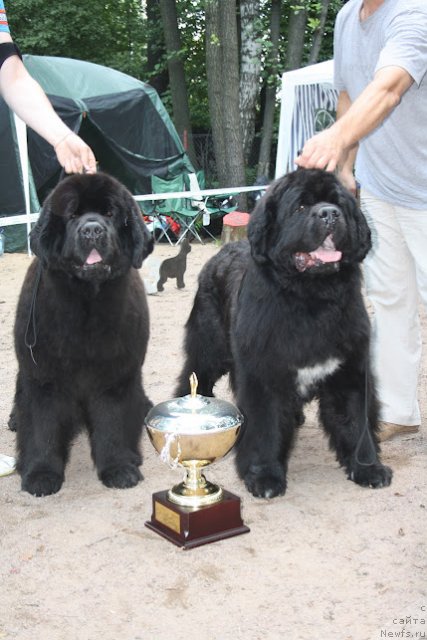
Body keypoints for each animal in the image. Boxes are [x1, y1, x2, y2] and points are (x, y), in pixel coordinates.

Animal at [10, 172, 155, 498]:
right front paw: (40, 474)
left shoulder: (116, 376)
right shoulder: (43, 378)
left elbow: (113, 423)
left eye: (110, 214)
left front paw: (118, 468)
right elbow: (42, 427)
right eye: (72, 215)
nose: (92, 229)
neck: (86, 307)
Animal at [177, 170, 394, 500]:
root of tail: (223, 251)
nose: (329, 213)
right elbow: (265, 428)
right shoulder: (263, 375)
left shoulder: (350, 372)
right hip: (209, 348)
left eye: (338, 203)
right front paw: (264, 477)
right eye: (301, 207)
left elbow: (357, 422)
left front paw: (368, 469)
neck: (312, 300)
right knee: (195, 375)